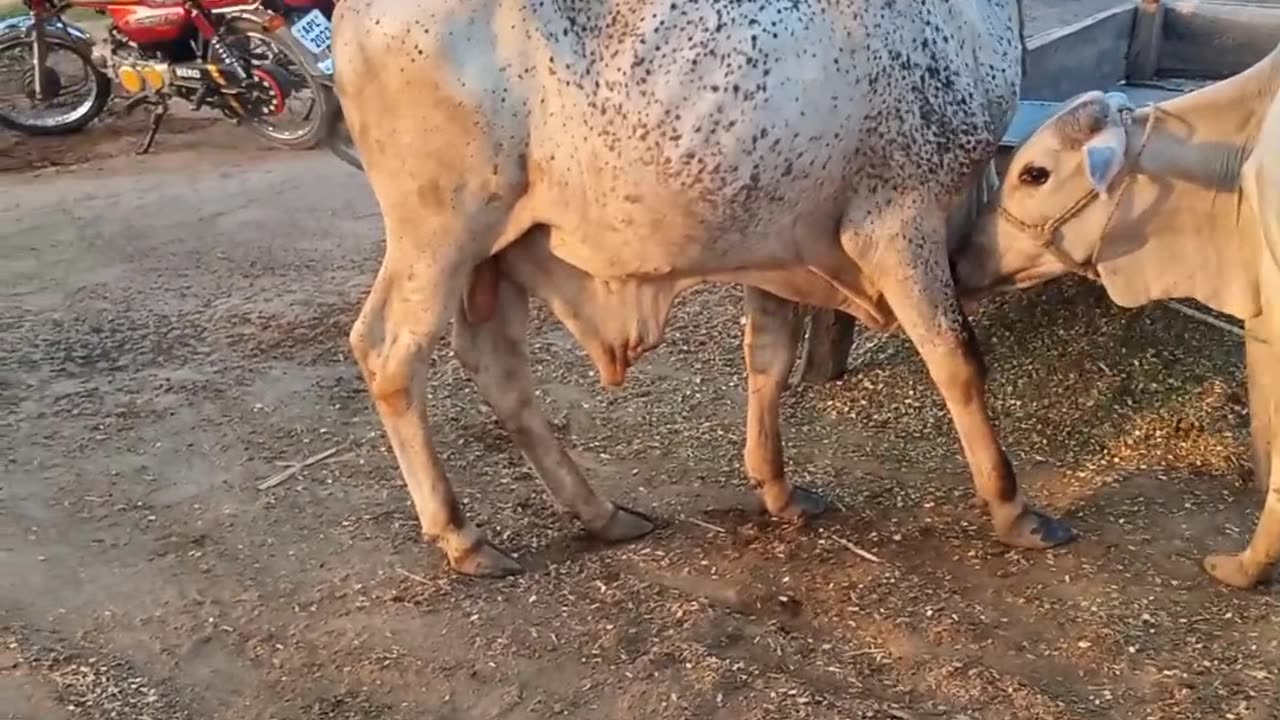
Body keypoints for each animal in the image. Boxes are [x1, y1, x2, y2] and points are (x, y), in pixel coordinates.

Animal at [331, 0, 1073, 577]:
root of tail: (347, 17)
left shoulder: (782, 243)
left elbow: (768, 362)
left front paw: (778, 490)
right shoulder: (900, 218)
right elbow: (959, 362)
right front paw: (1014, 509)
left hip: (497, 251)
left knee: (496, 366)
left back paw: (601, 514)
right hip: (441, 231)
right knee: (389, 355)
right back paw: (462, 537)